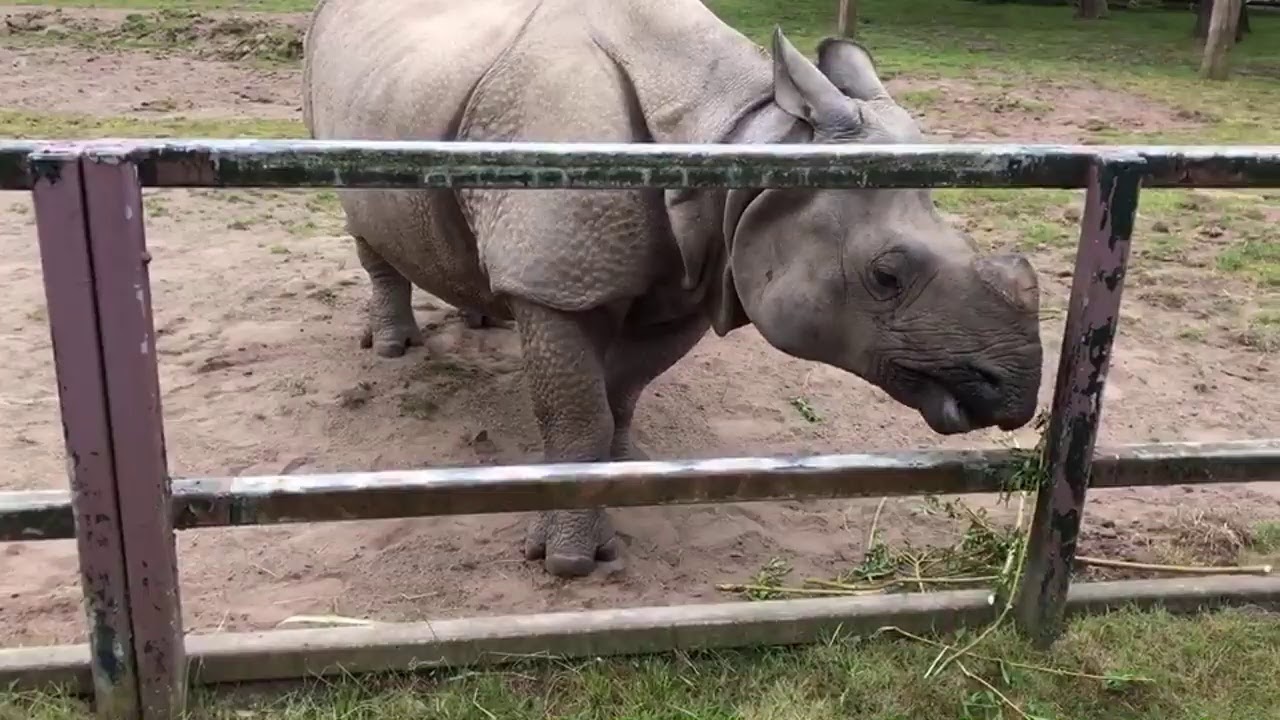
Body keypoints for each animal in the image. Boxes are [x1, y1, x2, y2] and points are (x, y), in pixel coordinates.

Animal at [302, 0, 1044, 578]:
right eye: (886, 277)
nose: (1013, 393)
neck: (738, 139)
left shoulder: (698, 274)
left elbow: (621, 395)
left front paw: (632, 474)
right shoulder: (559, 283)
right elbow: (578, 416)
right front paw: (568, 562)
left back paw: (484, 317)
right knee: (359, 215)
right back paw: (393, 349)